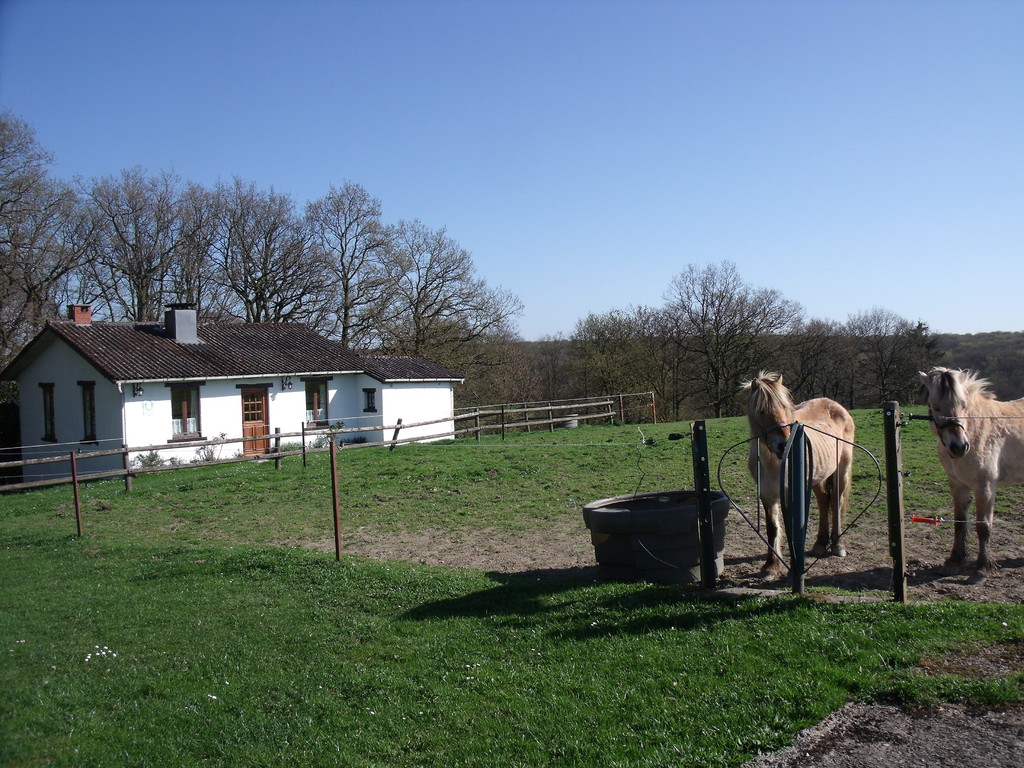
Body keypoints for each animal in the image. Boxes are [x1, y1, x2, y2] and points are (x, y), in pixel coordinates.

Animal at [745, 372, 856, 581]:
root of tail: (835, 405)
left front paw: (794, 568)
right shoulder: (767, 495)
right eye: (761, 411)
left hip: (842, 470)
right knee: (824, 500)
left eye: (784, 407)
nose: (783, 444)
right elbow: (772, 529)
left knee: (836, 501)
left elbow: (792, 529)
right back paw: (820, 544)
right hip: (817, 477)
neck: (774, 461)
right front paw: (770, 568)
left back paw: (838, 546)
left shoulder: (791, 494)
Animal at [917, 368, 1024, 581]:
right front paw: (954, 561)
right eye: (935, 407)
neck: (975, 431)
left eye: (964, 405)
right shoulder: (958, 485)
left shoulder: (985, 487)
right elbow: (960, 523)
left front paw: (982, 567)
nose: (959, 447)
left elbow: (983, 526)